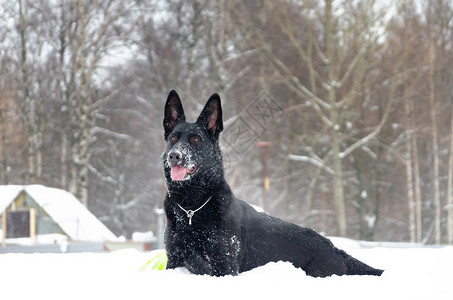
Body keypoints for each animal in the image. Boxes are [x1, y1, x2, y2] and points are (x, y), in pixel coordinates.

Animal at [162, 90, 382, 278]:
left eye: (196, 140)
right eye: (173, 138)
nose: (174, 155)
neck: (192, 207)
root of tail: (335, 250)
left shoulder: (224, 268)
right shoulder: (173, 262)